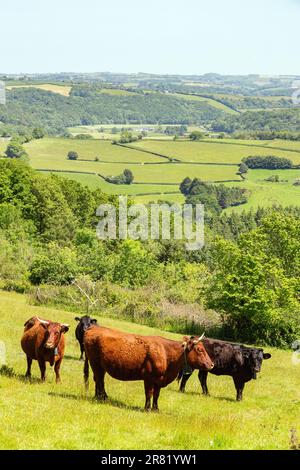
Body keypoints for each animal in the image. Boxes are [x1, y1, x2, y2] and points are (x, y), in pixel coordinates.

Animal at [82, 326, 213, 412]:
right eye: (199, 350)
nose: (211, 365)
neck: (166, 352)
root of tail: (93, 328)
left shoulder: (159, 380)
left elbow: (156, 395)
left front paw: (156, 409)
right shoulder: (148, 378)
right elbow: (149, 393)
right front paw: (147, 408)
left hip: (101, 366)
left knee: (99, 380)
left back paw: (100, 397)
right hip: (95, 364)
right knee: (99, 380)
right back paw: (101, 398)